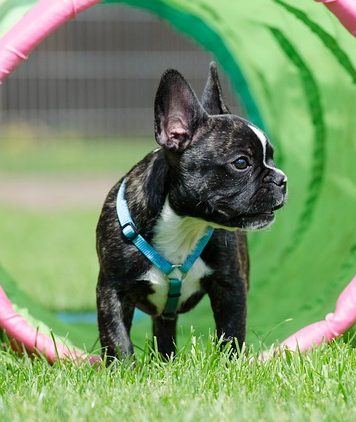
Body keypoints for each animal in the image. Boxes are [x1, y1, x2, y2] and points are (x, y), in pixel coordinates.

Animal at [96, 62, 288, 360]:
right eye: (241, 163)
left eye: (271, 158)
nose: (281, 179)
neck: (184, 222)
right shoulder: (111, 291)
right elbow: (117, 339)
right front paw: (123, 368)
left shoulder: (230, 286)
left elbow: (231, 333)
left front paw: (229, 365)